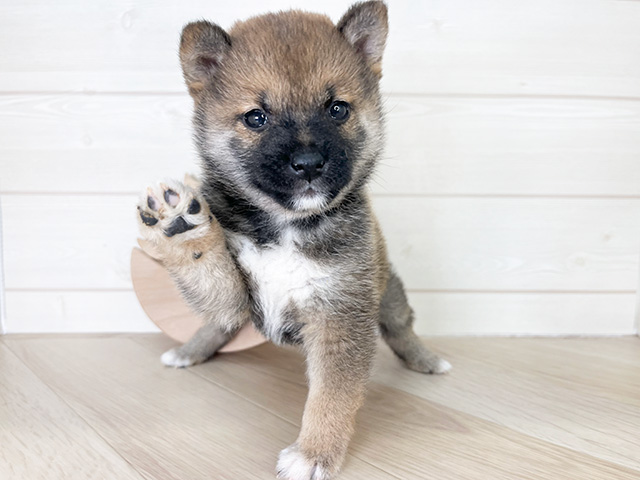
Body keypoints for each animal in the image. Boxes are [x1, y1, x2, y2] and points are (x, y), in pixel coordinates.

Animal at [137, 1, 450, 478]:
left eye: (337, 109)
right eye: (256, 117)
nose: (308, 163)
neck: (289, 226)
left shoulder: (342, 314)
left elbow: (331, 398)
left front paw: (314, 452)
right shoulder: (236, 295)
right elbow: (207, 270)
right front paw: (179, 225)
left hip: (389, 293)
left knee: (401, 327)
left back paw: (426, 359)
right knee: (216, 325)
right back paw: (190, 349)